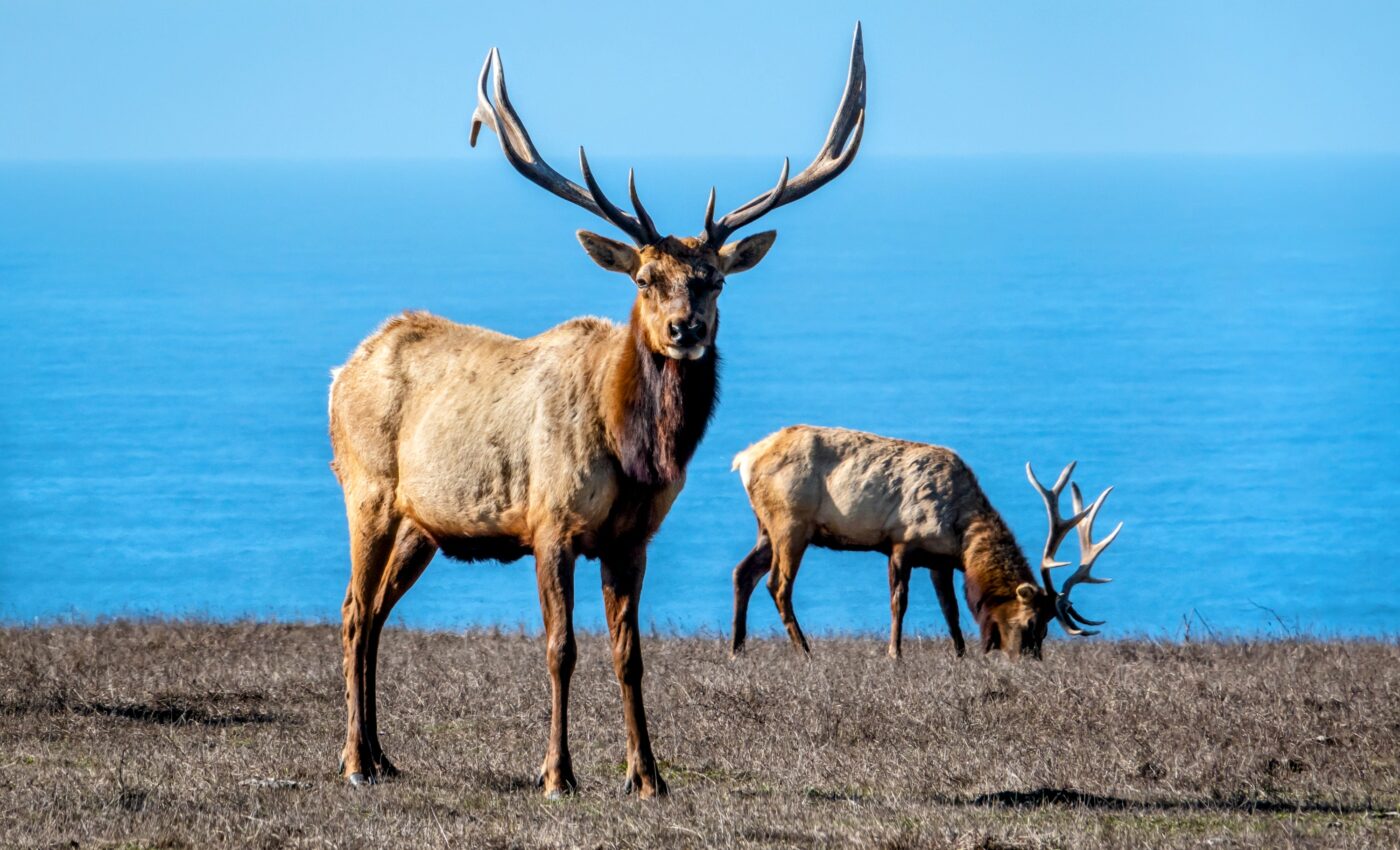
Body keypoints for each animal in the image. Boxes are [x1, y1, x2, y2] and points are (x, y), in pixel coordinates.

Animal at [327, 28, 865, 796]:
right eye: (644, 278)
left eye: (714, 279)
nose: (683, 329)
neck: (633, 451)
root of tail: (344, 369)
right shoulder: (550, 523)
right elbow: (561, 648)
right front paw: (557, 773)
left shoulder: (633, 537)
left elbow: (628, 654)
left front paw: (648, 776)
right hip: (366, 491)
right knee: (351, 611)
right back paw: (352, 762)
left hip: (422, 523)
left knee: (373, 614)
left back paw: (381, 755)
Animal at [728, 426, 1120, 660]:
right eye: (1031, 623)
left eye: (1047, 628)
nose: (1027, 660)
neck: (961, 533)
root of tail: (743, 459)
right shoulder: (901, 543)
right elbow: (898, 603)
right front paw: (895, 654)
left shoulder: (939, 561)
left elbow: (951, 611)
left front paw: (961, 654)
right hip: (790, 523)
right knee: (777, 585)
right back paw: (805, 651)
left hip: (767, 527)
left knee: (742, 572)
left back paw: (737, 648)